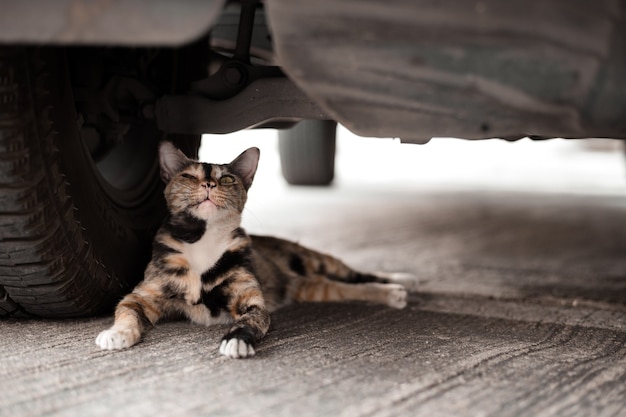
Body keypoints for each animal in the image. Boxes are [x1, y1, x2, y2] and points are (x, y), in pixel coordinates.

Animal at [95, 142, 410, 358]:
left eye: (226, 179)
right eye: (188, 176)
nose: (208, 183)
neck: (204, 240)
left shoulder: (251, 301)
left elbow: (252, 320)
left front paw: (237, 341)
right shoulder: (141, 296)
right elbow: (127, 313)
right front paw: (116, 334)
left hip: (313, 260)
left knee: (355, 273)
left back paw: (399, 281)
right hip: (312, 287)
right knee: (341, 288)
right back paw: (391, 293)